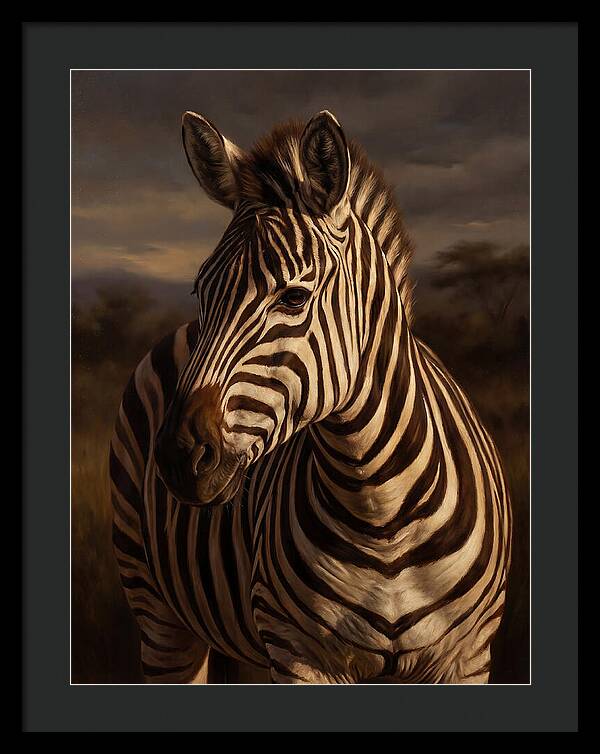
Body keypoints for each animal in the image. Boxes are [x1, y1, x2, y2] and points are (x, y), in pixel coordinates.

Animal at [109, 110, 512, 684]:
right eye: (200, 291)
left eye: (295, 297)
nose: (178, 456)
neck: (381, 512)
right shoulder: (300, 652)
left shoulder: (467, 656)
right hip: (158, 610)